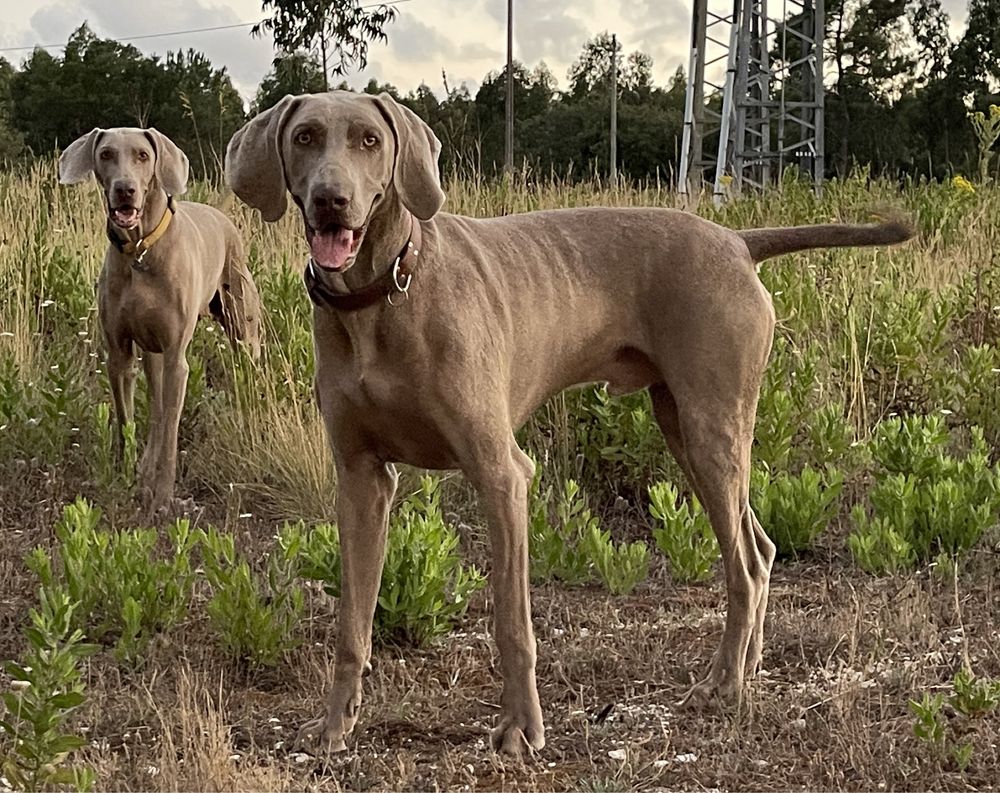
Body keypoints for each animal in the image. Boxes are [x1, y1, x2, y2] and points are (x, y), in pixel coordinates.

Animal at [223, 91, 912, 756]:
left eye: (369, 140)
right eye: (305, 135)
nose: (330, 201)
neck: (384, 294)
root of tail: (738, 242)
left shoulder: (502, 473)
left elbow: (511, 621)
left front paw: (520, 730)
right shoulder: (361, 478)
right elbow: (352, 621)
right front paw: (333, 728)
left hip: (712, 427)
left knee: (742, 564)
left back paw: (726, 687)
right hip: (685, 428)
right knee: (762, 549)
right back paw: (746, 664)